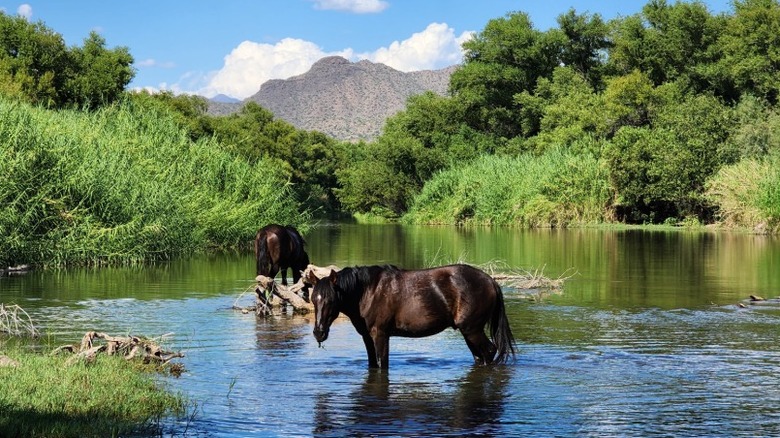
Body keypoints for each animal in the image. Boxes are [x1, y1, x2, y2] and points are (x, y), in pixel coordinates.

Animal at [310, 264, 516, 369]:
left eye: (331, 300)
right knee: (479, 356)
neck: (368, 291)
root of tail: (490, 281)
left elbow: (382, 363)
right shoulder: (367, 337)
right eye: (313, 299)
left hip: (472, 329)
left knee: (489, 351)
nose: (319, 333)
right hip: (468, 332)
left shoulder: (381, 334)